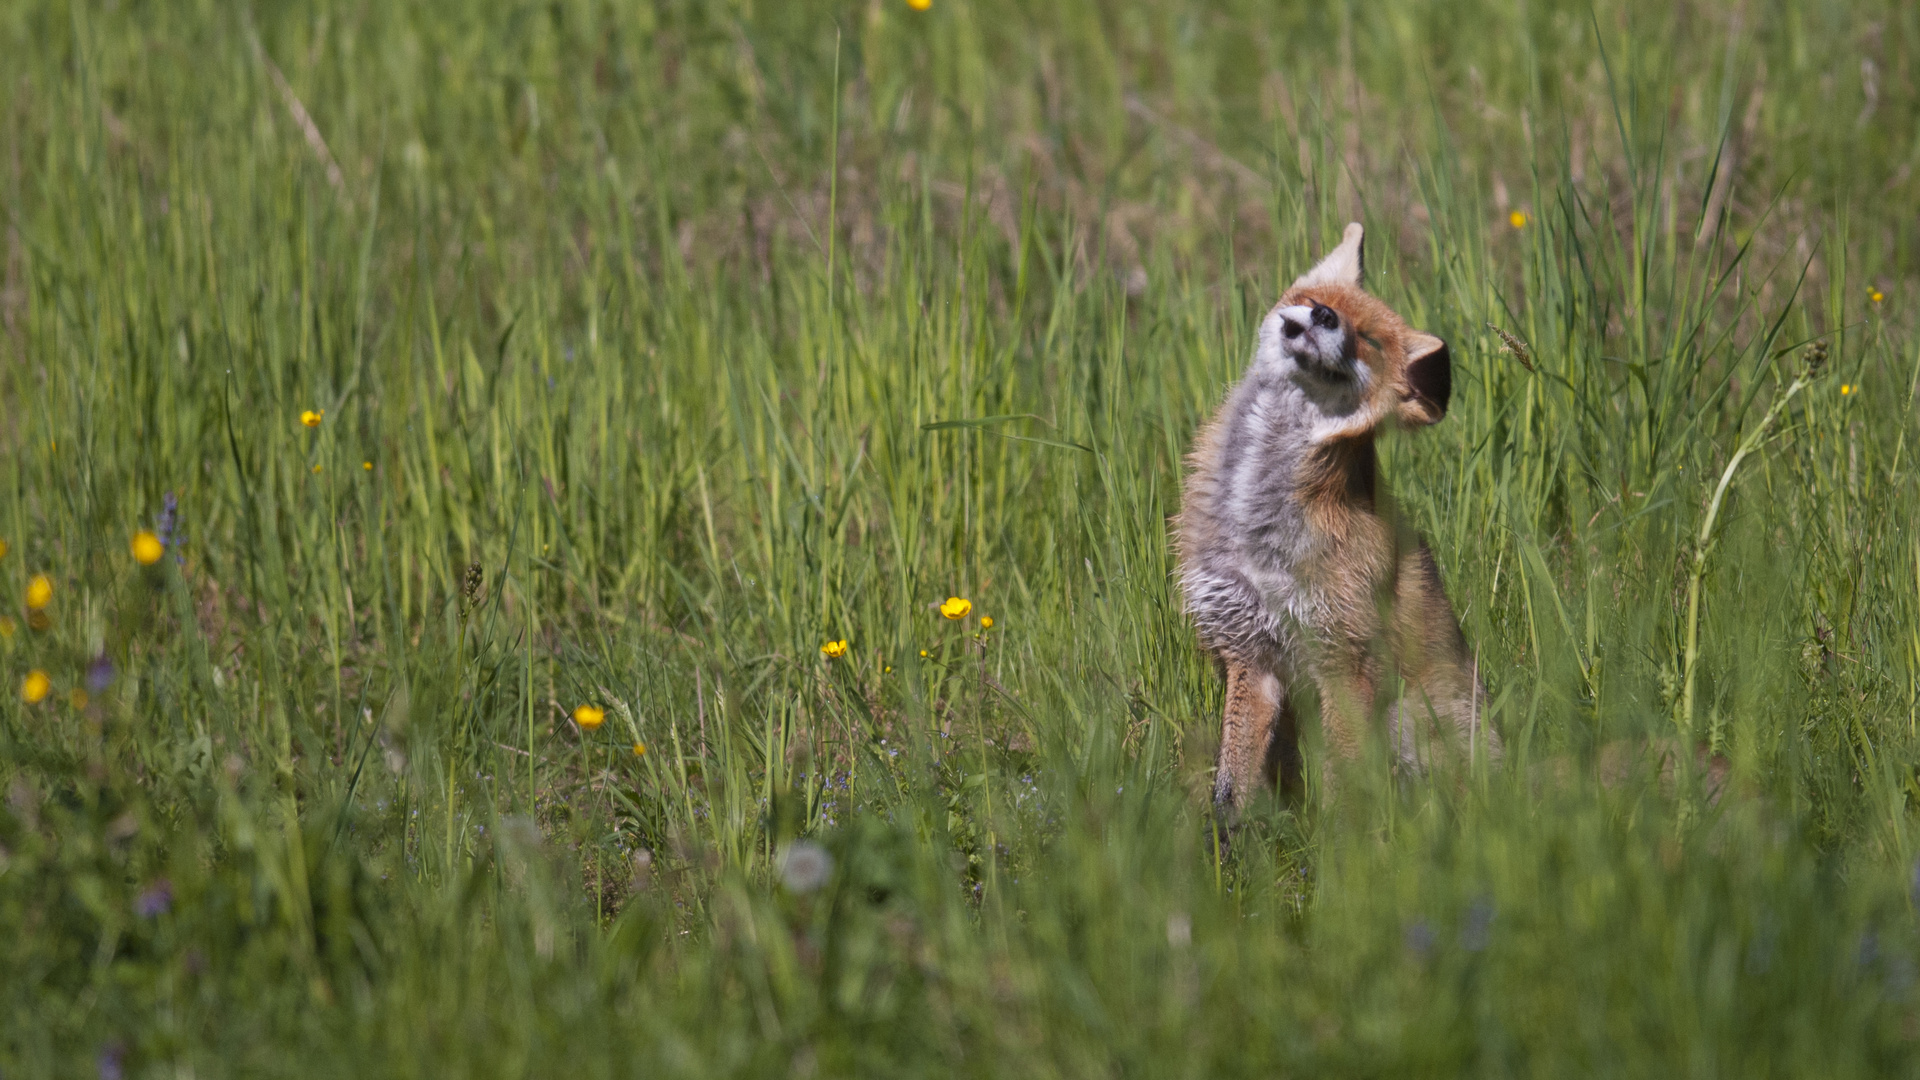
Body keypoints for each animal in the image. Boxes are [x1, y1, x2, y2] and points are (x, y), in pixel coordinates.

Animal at [1167, 222, 1497, 810]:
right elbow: (1230, 791)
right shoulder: (1250, 653)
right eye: (1312, 299)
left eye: (1369, 339)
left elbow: (1345, 789)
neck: (1258, 533)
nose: (1322, 316)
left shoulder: (1345, 660)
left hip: (1412, 722)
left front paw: (1344, 838)